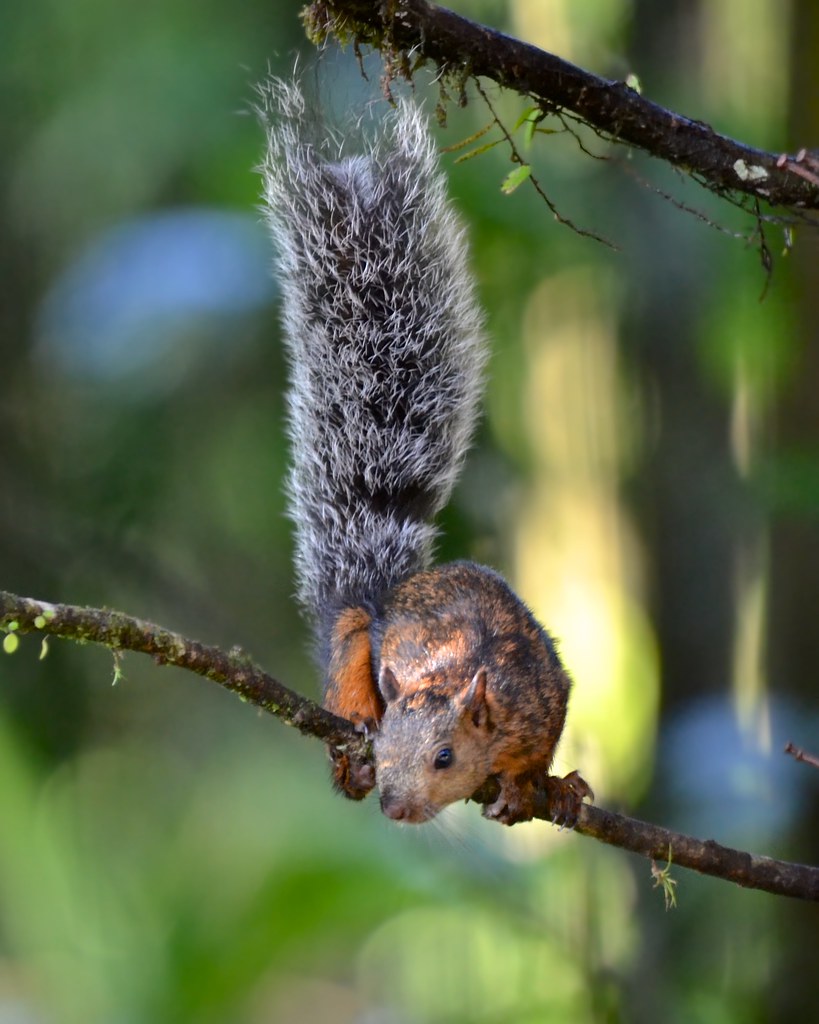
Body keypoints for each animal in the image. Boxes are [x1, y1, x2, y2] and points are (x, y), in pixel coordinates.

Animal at [259, 78, 592, 826]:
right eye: (390, 749)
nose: (394, 804)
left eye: (443, 758)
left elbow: (541, 743)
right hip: (358, 639)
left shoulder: (543, 696)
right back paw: (346, 742)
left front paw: (534, 783)